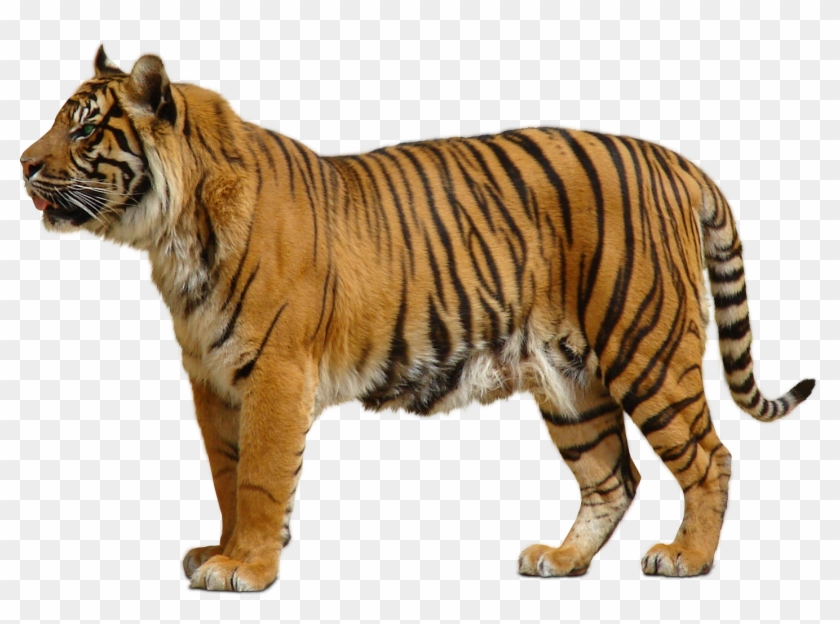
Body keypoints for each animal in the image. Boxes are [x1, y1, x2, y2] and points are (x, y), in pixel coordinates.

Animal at [21, 46, 815, 591]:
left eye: (84, 131)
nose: (24, 163)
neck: (172, 236)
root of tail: (678, 161)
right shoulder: (212, 380)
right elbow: (227, 474)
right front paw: (223, 549)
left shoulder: (276, 372)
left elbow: (262, 476)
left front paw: (244, 566)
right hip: (569, 382)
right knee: (612, 476)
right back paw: (561, 560)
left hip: (646, 347)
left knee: (710, 457)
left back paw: (686, 557)